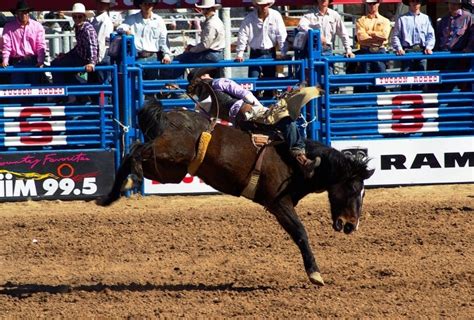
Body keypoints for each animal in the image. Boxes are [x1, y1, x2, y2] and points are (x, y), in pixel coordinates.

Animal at [98, 87, 376, 284]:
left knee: (133, 153)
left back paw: (110, 196)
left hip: (169, 169)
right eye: (354, 189)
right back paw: (129, 180)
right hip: (169, 156)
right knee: (134, 150)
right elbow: (300, 232)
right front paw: (315, 274)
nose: (351, 225)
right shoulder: (278, 203)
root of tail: (168, 115)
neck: (302, 164)